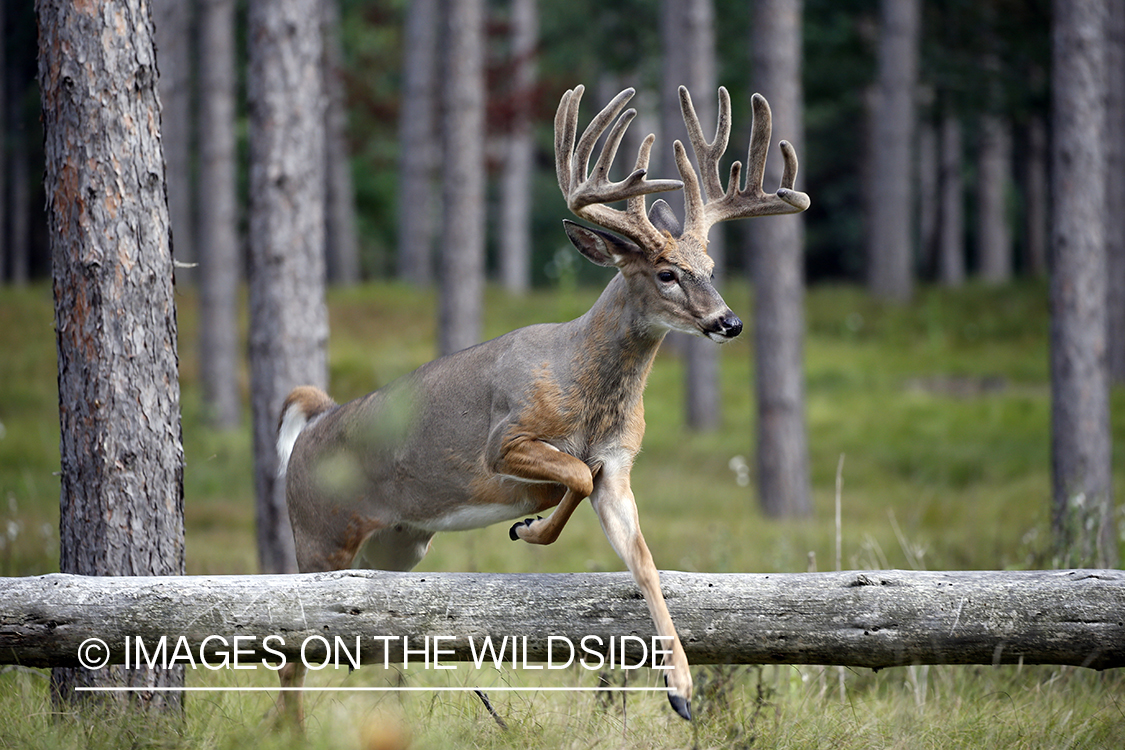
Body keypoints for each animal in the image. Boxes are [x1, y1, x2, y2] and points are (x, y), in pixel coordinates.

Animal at [274, 84, 810, 724]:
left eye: (710, 268)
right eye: (666, 273)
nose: (729, 322)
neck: (588, 393)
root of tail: (313, 424)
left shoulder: (620, 467)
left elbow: (645, 561)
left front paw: (680, 688)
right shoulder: (503, 440)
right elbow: (574, 474)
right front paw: (527, 528)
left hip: (396, 546)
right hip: (318, 536)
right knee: (289, 648)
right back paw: (290, 730)